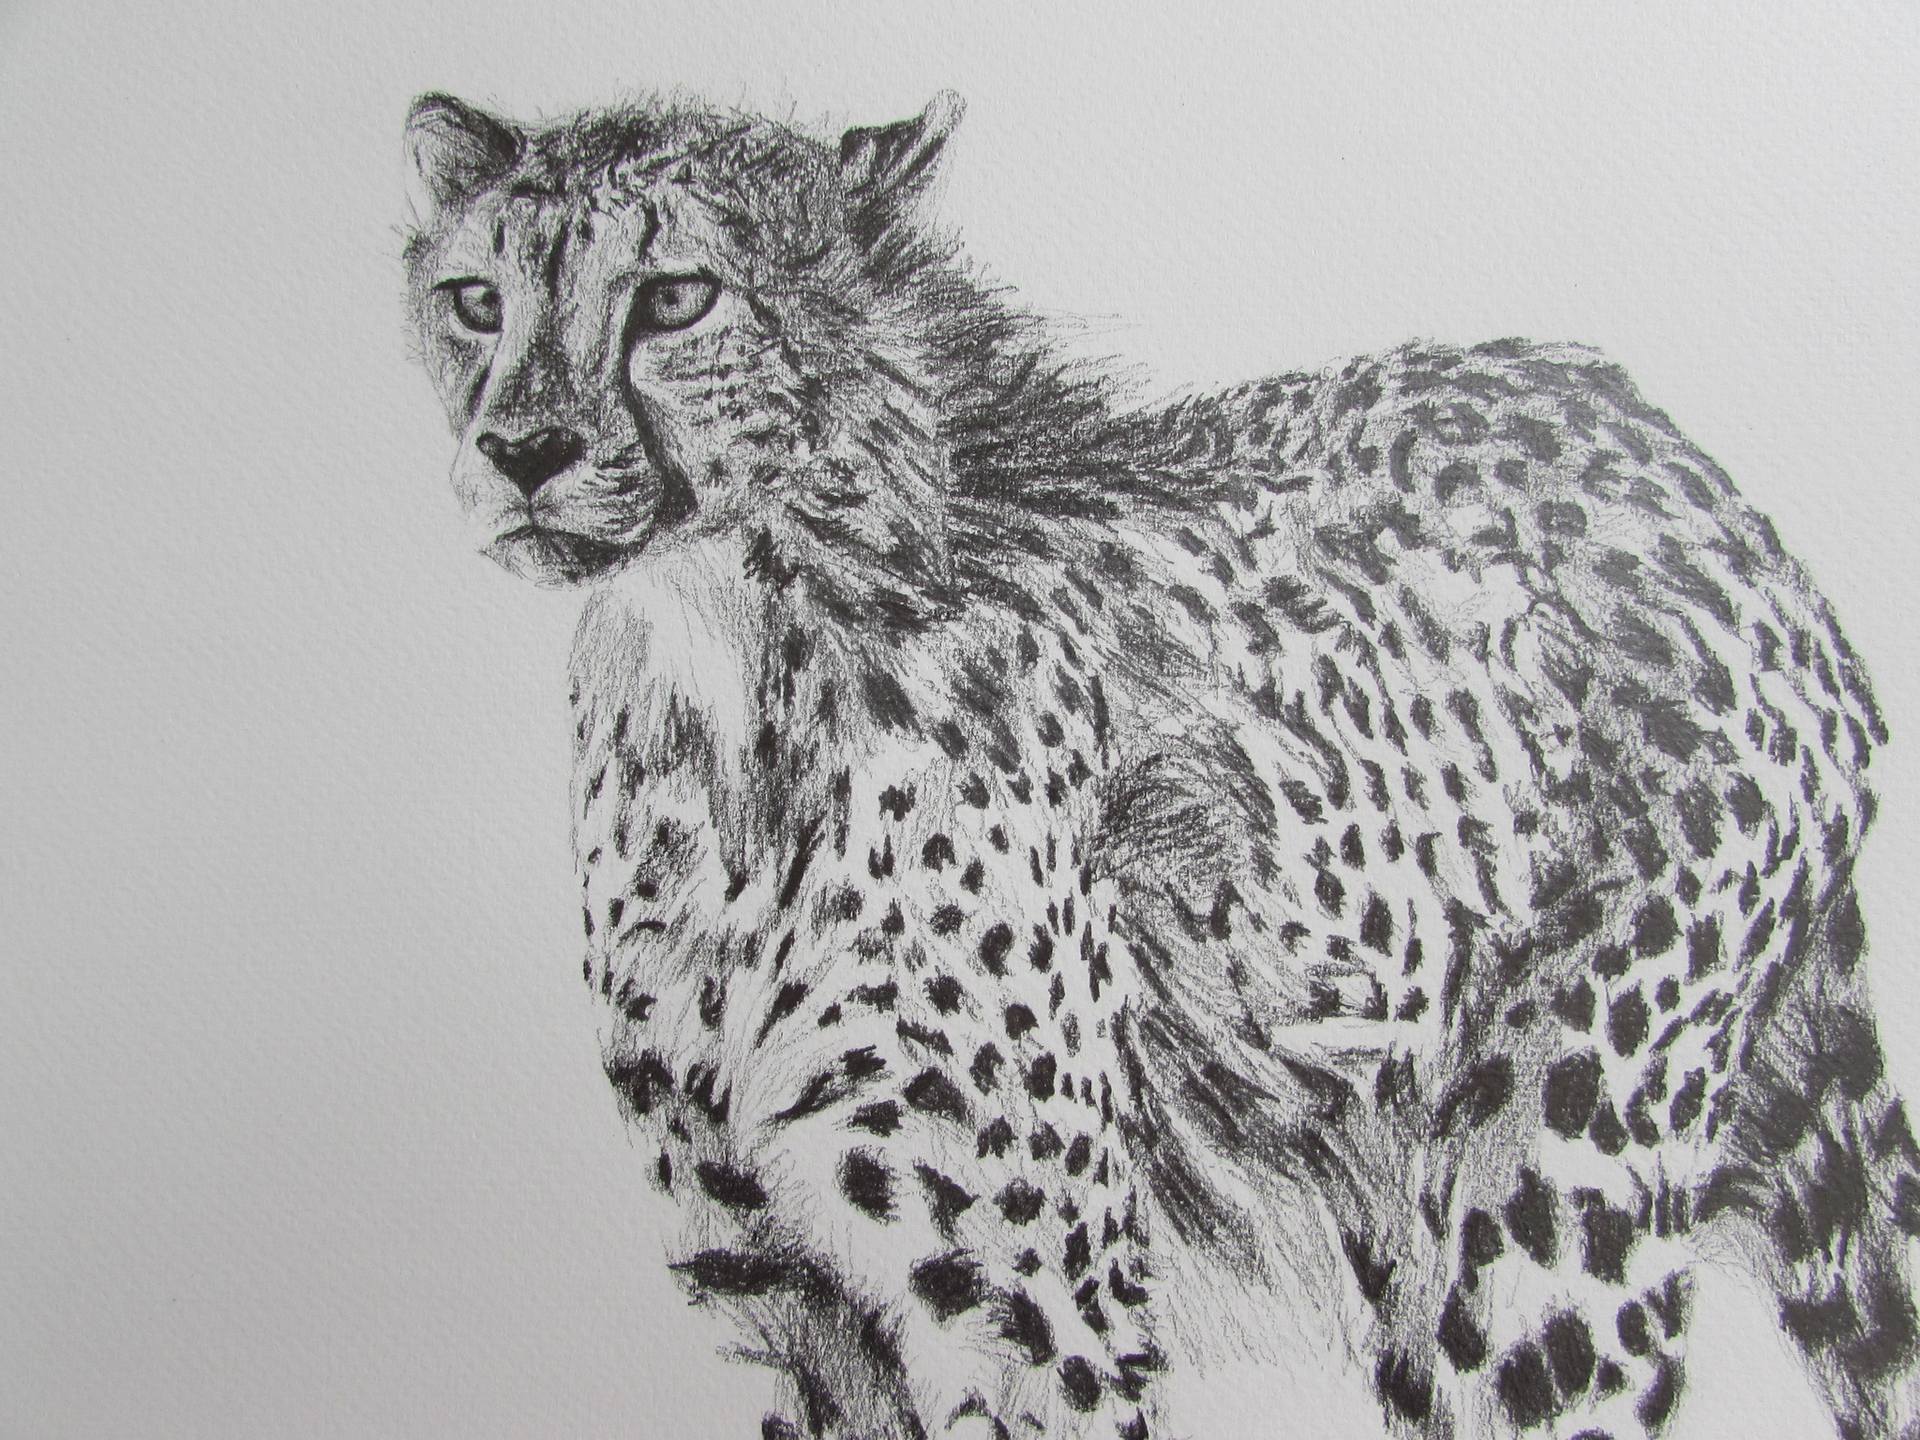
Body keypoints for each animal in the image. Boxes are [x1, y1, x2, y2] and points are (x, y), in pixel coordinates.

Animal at [401, 88, 1920, 1439]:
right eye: (475, 301)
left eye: (675, 299)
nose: (522, 450)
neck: (721, 670)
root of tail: (1663, 446)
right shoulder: (795, 1313)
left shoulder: (1029, 1306)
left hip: (1540, 1211)